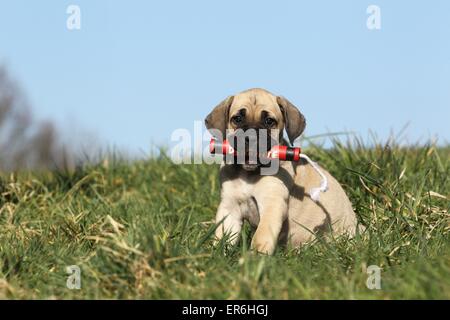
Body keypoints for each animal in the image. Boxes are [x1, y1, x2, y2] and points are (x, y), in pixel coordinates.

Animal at [206, 89, 360, 254]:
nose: (251, 137)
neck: (248, 175)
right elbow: (222, 236)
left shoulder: (272, 204)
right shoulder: (230, 206)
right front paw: (216, 255)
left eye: (269, 121)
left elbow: (261, 236)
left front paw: (256, 257)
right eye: (238, 119)